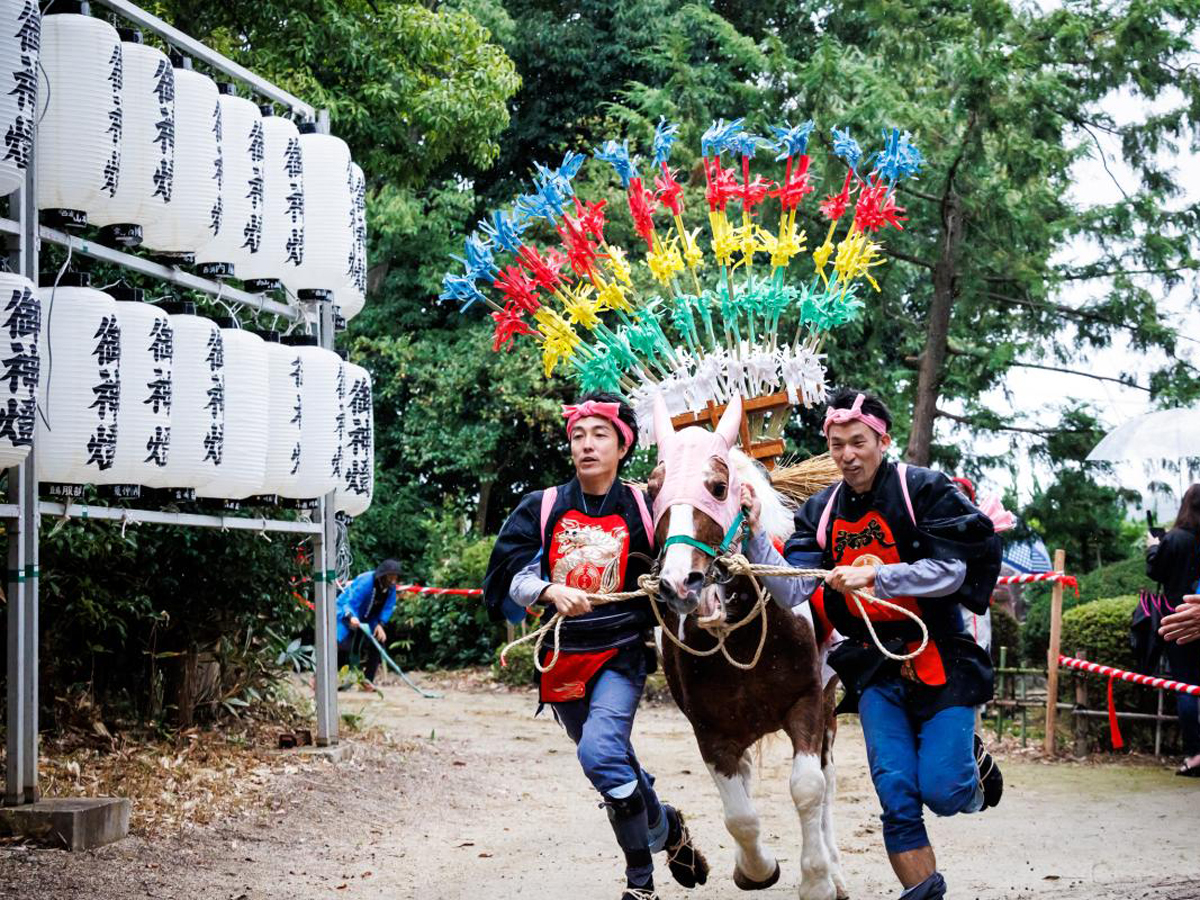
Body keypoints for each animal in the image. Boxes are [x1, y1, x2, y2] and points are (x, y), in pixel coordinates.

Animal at [648, 393, 844, 900]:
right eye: (654, 491)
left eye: (718, 488)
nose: (681, 583)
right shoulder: (710, 730)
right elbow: (739, 814)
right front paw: (756, 868)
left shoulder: (807, 702)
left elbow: (809, 787)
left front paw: (817, 880)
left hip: (830, 704)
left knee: (828, 782)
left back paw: (836, 871)